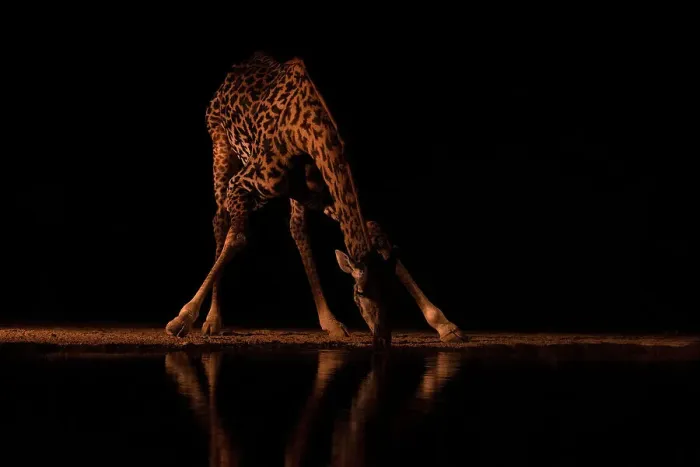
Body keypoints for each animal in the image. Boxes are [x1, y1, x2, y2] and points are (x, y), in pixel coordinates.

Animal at [165, 51, 466, 347]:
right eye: (359, 293)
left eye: (391, 294)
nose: (382, 337)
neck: (308, 131)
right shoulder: (241, 183)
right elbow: (236, 237)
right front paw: (182, 320)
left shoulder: (317, 192)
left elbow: (376, 231)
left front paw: (445, 325)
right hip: (221, 146)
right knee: (220, 220)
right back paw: (212, 321)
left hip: (292, 190)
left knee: (297, 229)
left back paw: (330, 322)